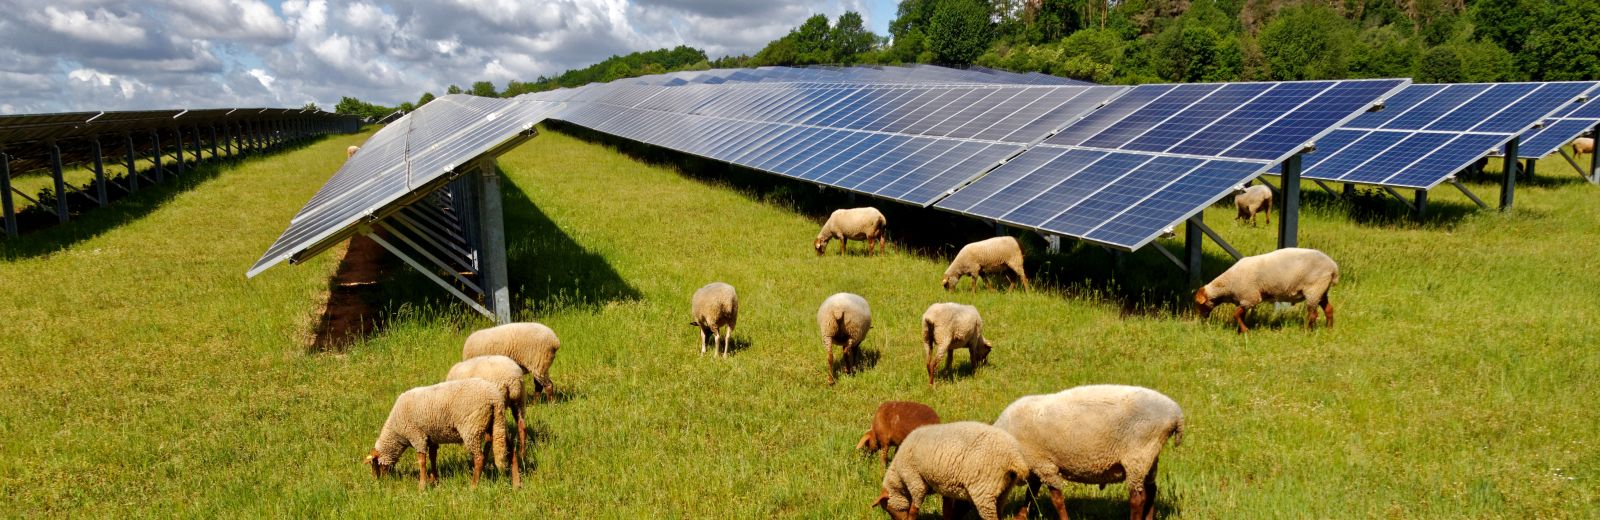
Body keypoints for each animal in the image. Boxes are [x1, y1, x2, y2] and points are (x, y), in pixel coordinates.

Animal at [363, 379, 518, 489]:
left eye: (374, 464)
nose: (379, 483)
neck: (396, 433)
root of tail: (494, 398)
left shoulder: (417, 436)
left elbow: (422, 461)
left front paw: (422, 485)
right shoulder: (431, 437)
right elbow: (433, 458)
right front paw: (435, 480)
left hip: (471, 428)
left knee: (479, 458)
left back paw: (473, 486)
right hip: (497, 423)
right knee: (510, 450)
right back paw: (517, 483)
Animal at [870, 419, 1030, 518]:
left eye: (888, 509)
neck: (898, 475)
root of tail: (1014, 456)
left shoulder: (914, 480)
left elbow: (914, 509)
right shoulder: (944, 486)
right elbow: (946, 511)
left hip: (983, 490)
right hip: (1003, 489)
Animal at [992, 382, 1184, 518]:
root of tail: (1176, 414)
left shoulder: (1044, 465)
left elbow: (1056, 499)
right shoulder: (1036, 464)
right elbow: (1030, 495)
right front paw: (1020, 517)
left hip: (1138, 454)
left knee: (1138, 497)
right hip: (1150, 456)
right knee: (1151, 491)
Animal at [1203, 244, 1337, 332]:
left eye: (1199, 304)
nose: (1201, 321)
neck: (1227, 284)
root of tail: (1333, 267)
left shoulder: (1250, 297)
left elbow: (1236, 314)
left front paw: (1246, 331)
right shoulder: (1245, 300)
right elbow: (1240, 315)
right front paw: (1241, 330)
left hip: (1314, 289)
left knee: (1313, 314)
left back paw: (1307, 331)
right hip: (1321, 291)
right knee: (1329, 309)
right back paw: (1329, 329)